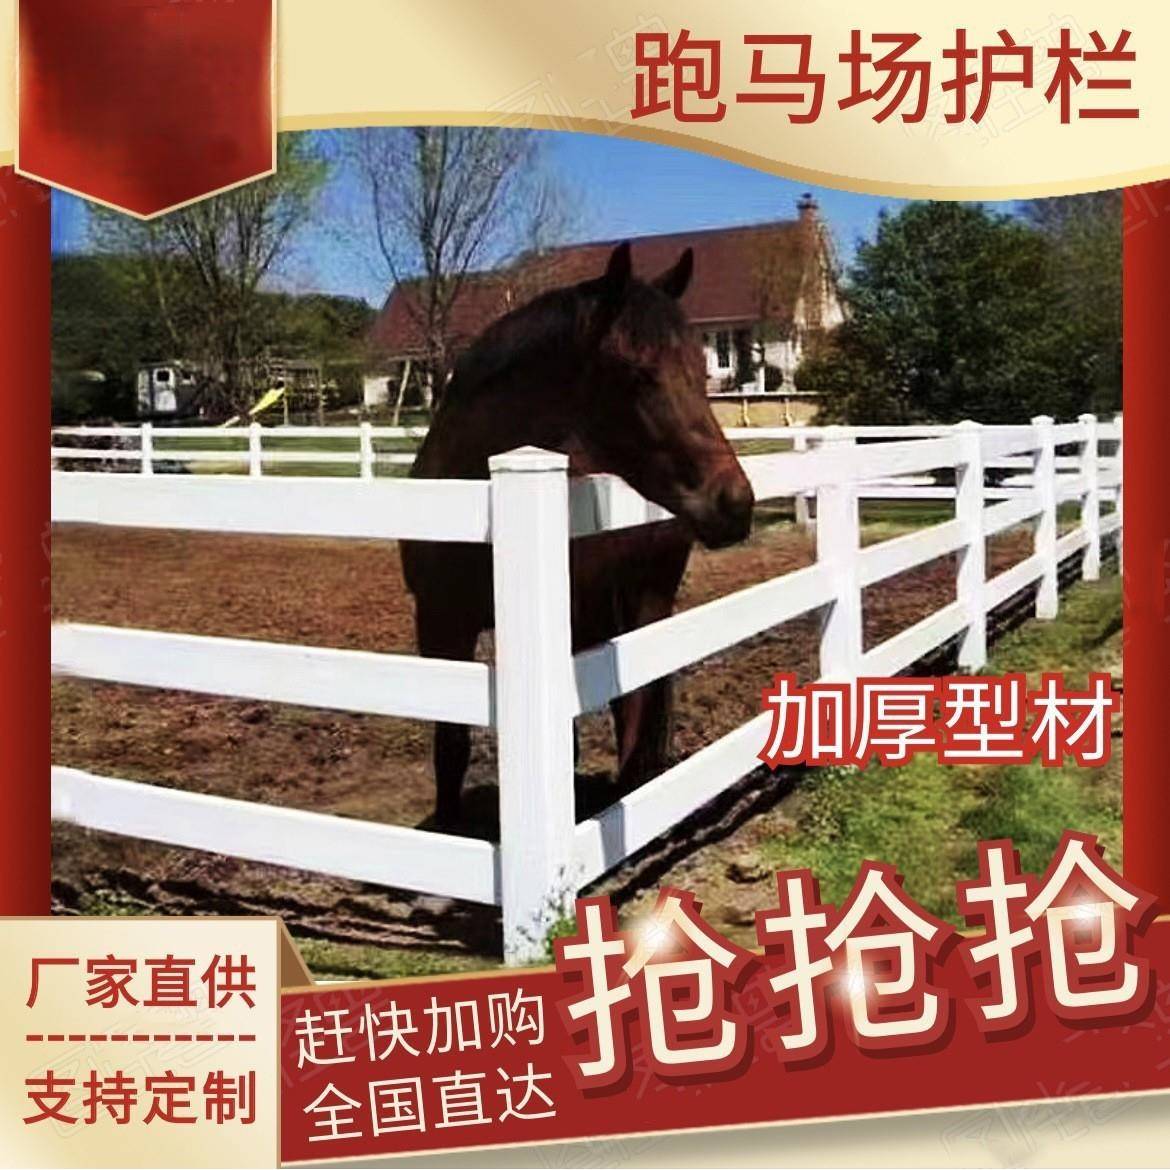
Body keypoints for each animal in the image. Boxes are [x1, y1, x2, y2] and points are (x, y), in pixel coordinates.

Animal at [400, 242, 755, 828]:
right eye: (635, 373)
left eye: (703, 369)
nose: (735, 503)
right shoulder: (440, 621)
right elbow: (450, 747)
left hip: (643, 603)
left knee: (635, 713)